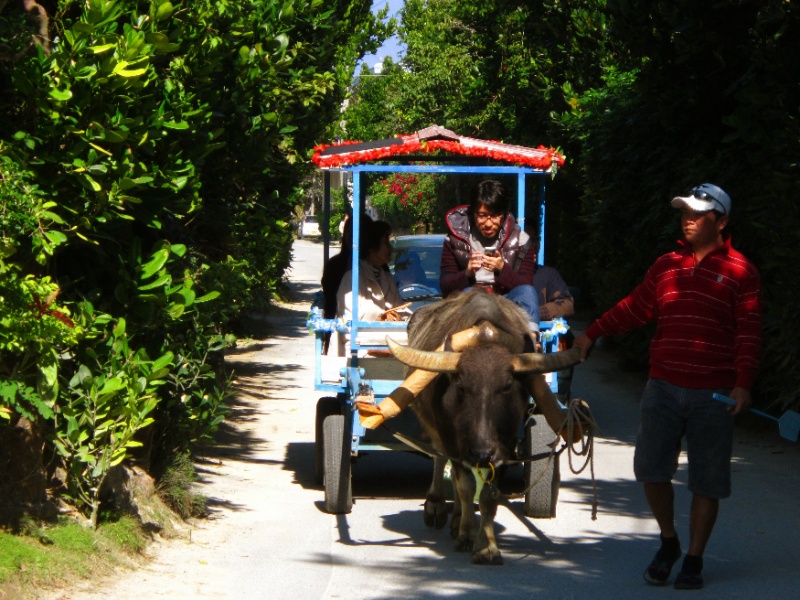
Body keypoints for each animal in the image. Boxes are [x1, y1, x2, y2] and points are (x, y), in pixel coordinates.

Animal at [358, 290, 580, 564]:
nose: (481, 453)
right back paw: (438, 508)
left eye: (507, 386)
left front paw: (487, 546)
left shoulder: (504, 447)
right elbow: (464, 486)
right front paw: (466, 535)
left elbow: (488, 496)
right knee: (441, 460)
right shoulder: (454, 442)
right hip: (437, 431)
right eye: (462, 387)